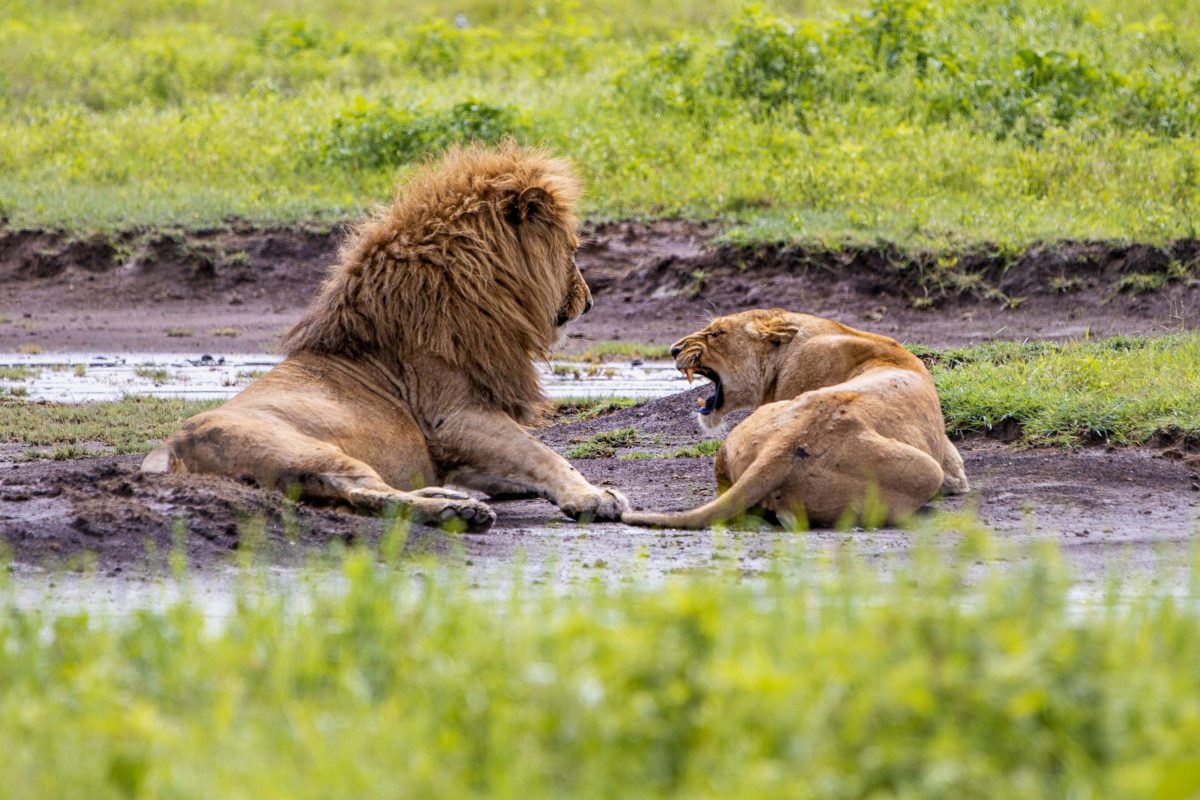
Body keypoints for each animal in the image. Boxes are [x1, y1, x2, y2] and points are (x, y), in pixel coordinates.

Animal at [141, 143, 629, 532]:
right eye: (572, 250)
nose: (589, 303)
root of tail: (169, 450)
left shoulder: (454, 447)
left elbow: (523, 463)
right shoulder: (453, 418)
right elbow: (541, 453)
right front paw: (593, 496)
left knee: (363, 500)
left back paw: (448, 499)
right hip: (307, 451)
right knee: (365, 493)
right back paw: (458, 511)